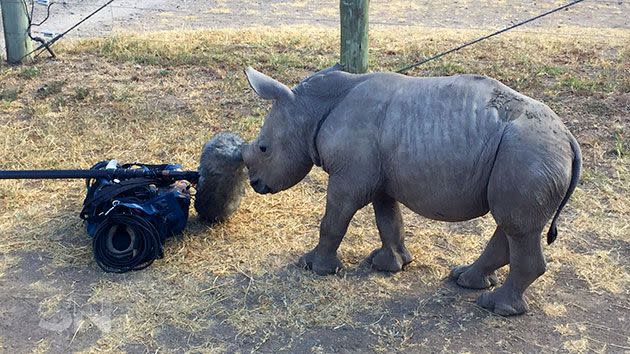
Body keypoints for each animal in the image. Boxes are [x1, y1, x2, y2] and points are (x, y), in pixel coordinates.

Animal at [241, 64, 584, 316]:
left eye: (264, 148)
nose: (256, 184)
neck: (308, 109)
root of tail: (569, 139)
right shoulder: (379, 178)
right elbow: (388, 220)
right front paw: (390, 265)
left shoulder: (349, 178)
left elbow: (334, 220)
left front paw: (313, 267)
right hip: (527, 155)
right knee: (513, 225)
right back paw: (466, 280)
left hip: (529, 153)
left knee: (517, 227)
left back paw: (495, 307)